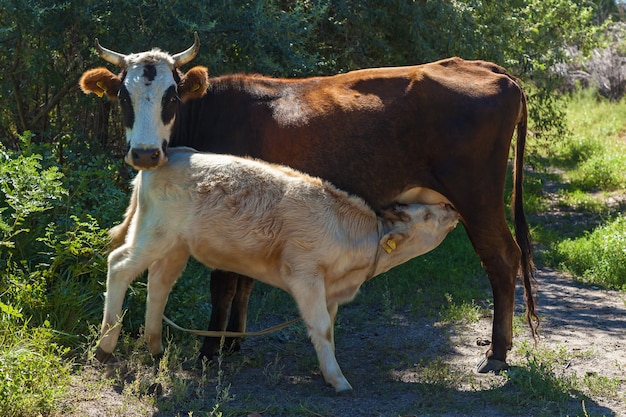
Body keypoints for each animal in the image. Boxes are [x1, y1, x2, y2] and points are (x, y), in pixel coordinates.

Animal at [98, 148, 458, 392]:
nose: (450, 207)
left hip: (175, 245)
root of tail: (173, 152)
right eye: (427, 216)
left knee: (159, 282)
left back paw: (155, 345)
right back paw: (106, 345)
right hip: (154, 234)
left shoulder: (330, 290)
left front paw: (327, 368)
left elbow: (328, 329)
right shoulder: (305, 275)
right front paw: (338, 379)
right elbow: (321, 326)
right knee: (119, 266)